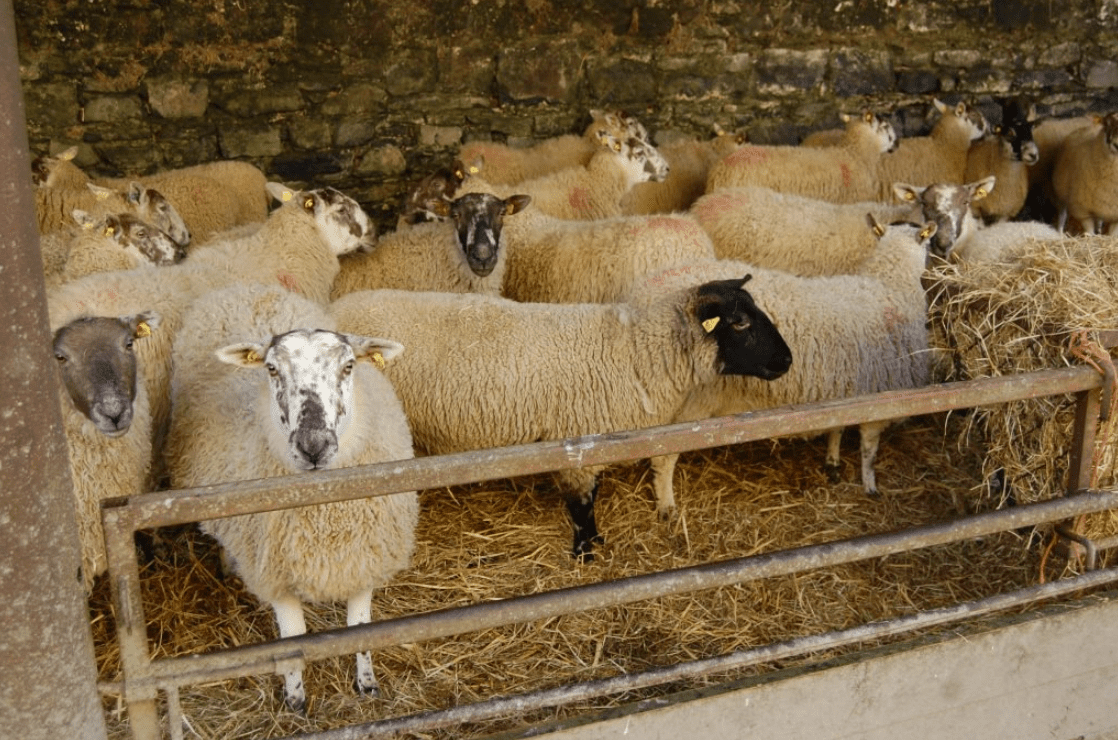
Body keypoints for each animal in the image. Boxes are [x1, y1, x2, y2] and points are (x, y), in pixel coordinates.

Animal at [165, 282, 417, 712]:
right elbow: (294, 637)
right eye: (271, 369)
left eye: (349, 366)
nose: (313, 446)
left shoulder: (363, 558)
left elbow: (360, 627)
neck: (324, 514)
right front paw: (296, 698)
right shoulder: (276, 572)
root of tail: (248, 286)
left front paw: (366, 683)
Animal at [329, 280, 792, 561]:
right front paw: (587, 552)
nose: (787, 361)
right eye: (740, 322)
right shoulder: (577, 442)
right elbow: (582, 505)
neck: (638, 353)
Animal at [624, 216, 938, 513]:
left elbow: (836, 427)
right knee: (663, 455)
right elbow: (869, 451)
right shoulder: (882, 397)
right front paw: (870, 486)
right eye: (930, 243)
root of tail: (641, 296)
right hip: (689, 405)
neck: (891, 286)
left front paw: (833, 462)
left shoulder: (842, 390)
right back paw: (667, 506)